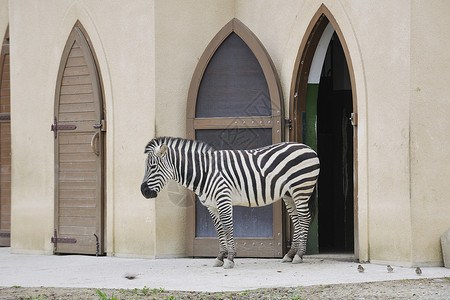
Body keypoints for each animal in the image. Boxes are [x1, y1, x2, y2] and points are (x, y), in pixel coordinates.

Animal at [141, 137, 320, 268]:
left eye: (153, 166)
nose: (143, 192)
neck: (205, 172)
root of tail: (309, 149)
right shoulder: (211, 206)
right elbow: (219, 231)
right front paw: (220, 257)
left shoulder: (223, 199)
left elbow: (227, 228)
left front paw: (230, 258)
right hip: (289, 194)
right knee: (297, 221)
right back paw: (290, 255)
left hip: (301, 189)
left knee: (304, 219)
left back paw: (299, 255)